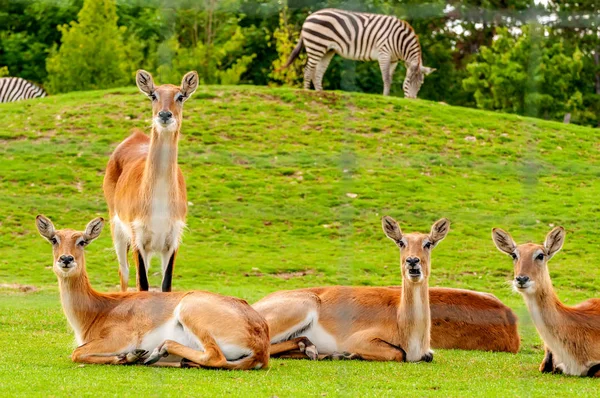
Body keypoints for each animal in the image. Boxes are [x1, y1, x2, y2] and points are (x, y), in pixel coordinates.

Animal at [33, 215, 268, 370]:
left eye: (82, 241)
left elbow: (76, 353)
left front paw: (129, 356)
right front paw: (129, 357)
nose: (66, 259)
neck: (99, 310)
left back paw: (158, 351)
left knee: (214, 356)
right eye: (54, 239)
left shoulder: (119, 338)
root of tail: (261, 345)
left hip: (191, 310)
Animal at [103, 69, 197, 292]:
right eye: (153, 95)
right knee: (124, 273)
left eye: (180, 96)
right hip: (117, 229)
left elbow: (166, 285)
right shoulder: (139, 239)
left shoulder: (172, 241)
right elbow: (144, 285)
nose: (164, 114)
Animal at [253, 216, 450, 362]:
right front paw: (350, 353)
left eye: (428, 243)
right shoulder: (360, 340)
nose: (412, 261)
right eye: (401, 242)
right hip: (303, 306)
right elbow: (398, 353)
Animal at [282, 8, 436, 97]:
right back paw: (307, 92)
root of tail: (309, 17)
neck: (400, 41)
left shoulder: (393, 60)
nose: (411, 101)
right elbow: (386, 78)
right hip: (316, 45)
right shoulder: (384, 53)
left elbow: (390, 78)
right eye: (408, 81)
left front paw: (387, 96)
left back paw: (321, 93)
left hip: (327, 50)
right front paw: (385, 97)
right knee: (308, 70)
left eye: (421, 84)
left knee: (318, 72)